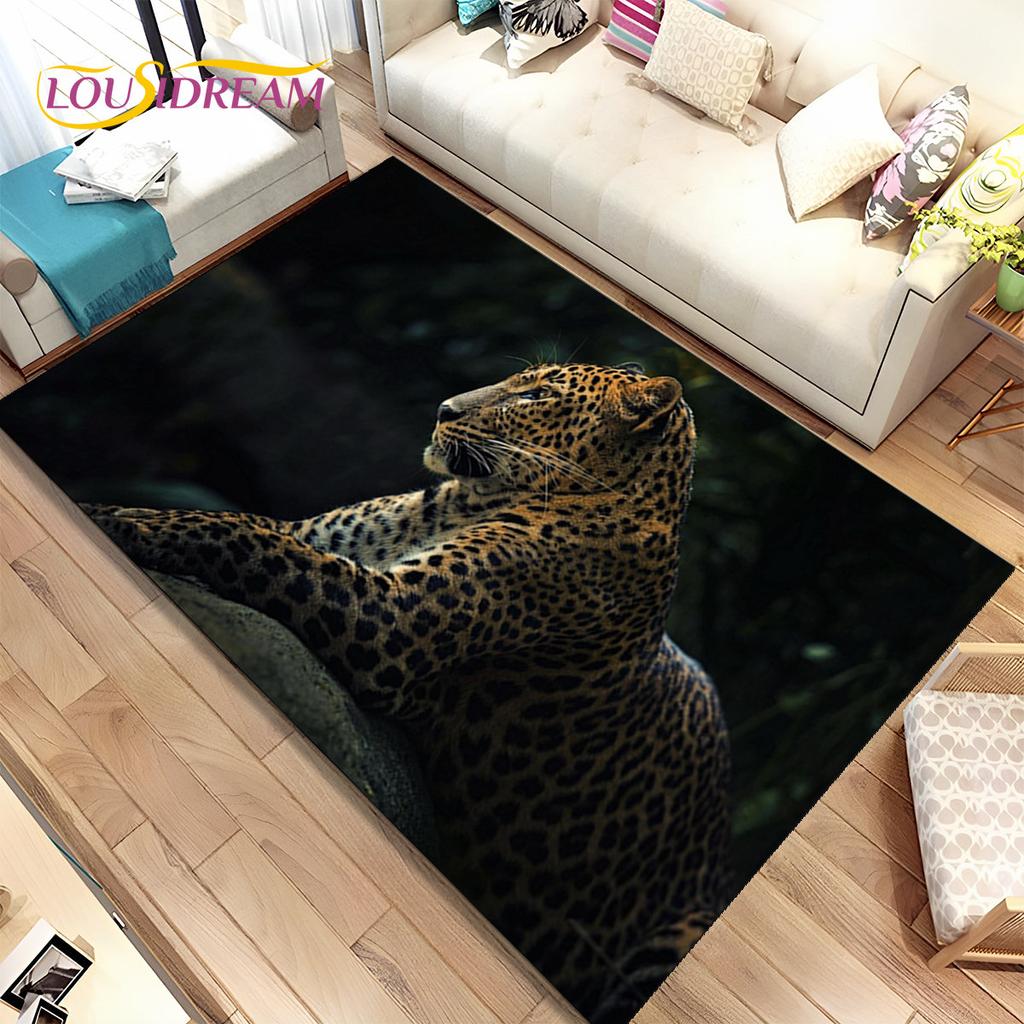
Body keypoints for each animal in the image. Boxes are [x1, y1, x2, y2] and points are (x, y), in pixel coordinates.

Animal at [85, 362, 731, 1023]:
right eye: (522, 380)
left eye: (536, 395)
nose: (445, 409)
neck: (461, 503)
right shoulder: (315, 533)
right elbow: (239, 525)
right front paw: (106, 508)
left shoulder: (384, 620)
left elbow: (242, 535)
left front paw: (124, 526)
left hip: (678, 928)